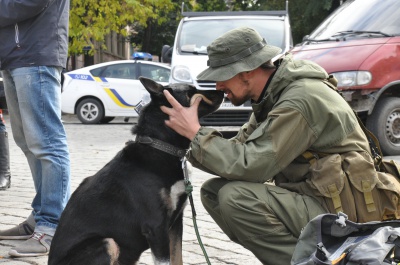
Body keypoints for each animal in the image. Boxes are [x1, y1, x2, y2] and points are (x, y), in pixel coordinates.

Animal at [48, 77, 223, 264]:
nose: (222, 91)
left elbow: (178, 258)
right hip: (107, 242)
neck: (161, 147)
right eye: (191, 92)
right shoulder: (156, 226)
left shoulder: (176, 223)